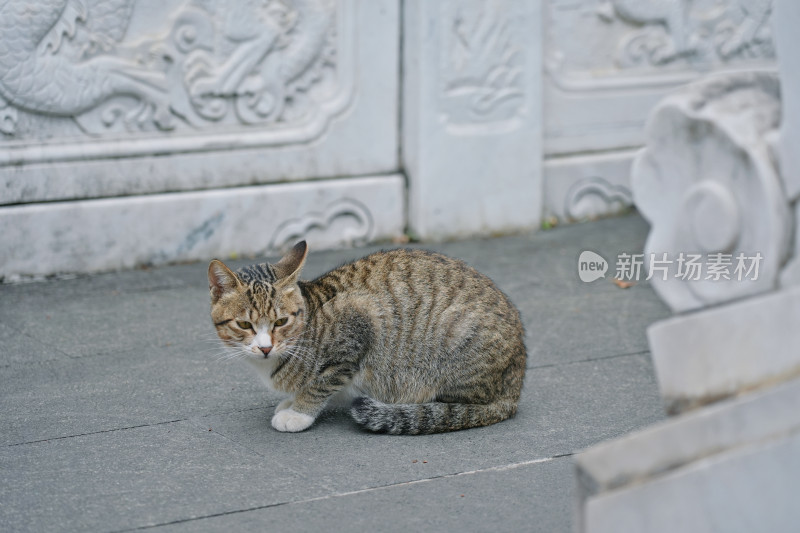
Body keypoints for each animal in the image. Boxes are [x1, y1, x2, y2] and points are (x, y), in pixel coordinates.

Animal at [209, 240, 528, 432]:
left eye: (281, 321)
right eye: (244, 324)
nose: (265, 348)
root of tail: (515, 384)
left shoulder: (359, 323)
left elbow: (321, 383)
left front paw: (299, 411)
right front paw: (292, 401)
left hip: (455, 334)